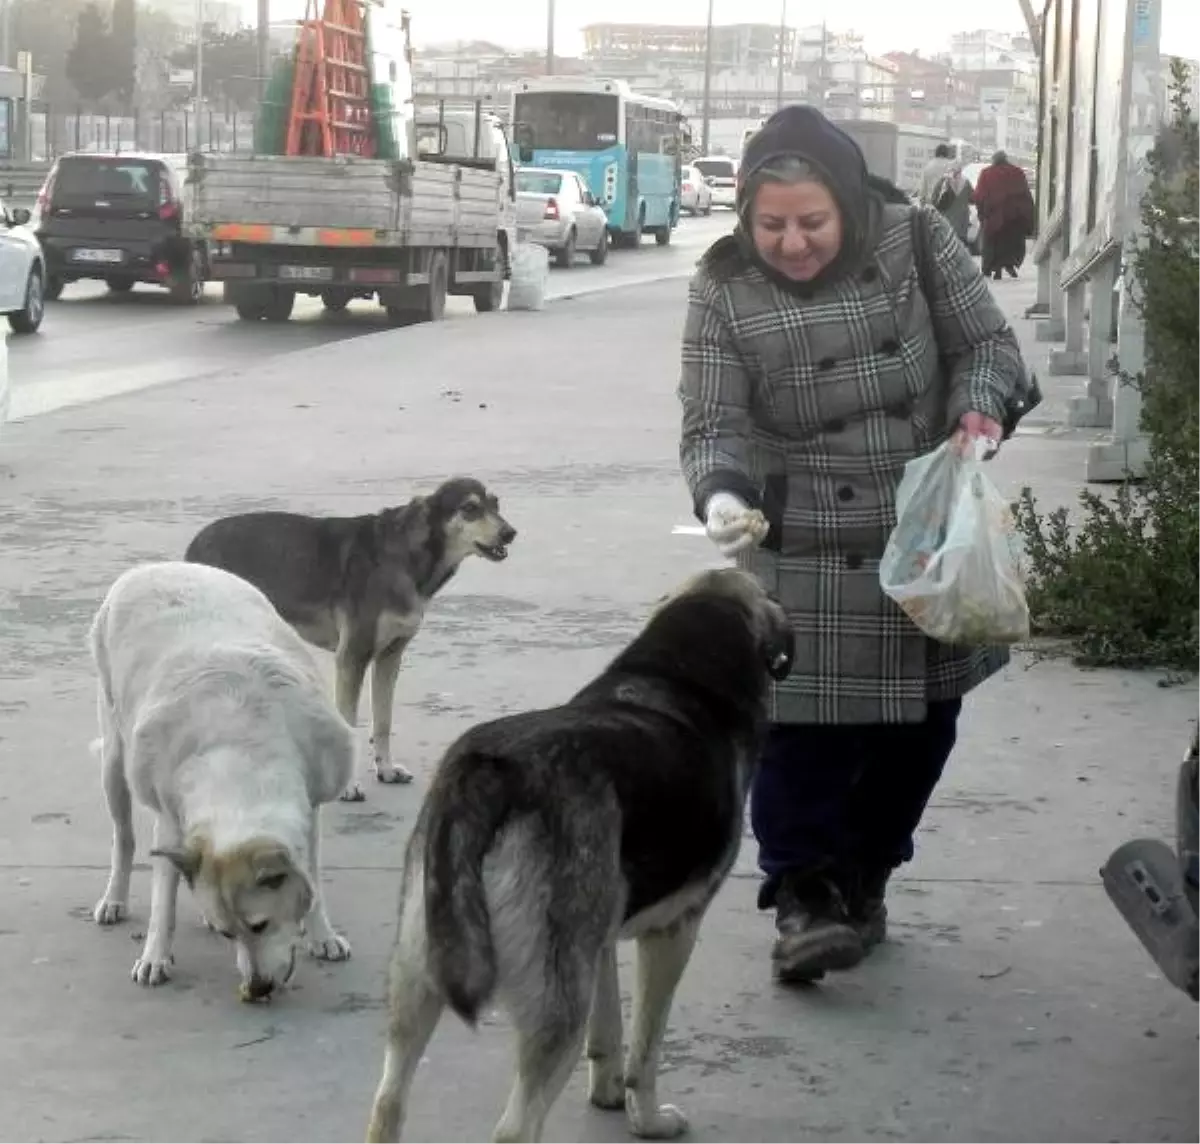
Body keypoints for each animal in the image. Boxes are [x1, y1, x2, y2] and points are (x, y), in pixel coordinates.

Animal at [89, 561, 355, 998]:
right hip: (114, 759)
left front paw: (322, 934)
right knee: (123, 838)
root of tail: (154, 566)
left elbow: (312, 875)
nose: (258, 988)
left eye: (260, 926)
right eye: (231, 935)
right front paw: (155, 954)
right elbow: (163, 899)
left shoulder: (313, 804)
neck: (242, 755)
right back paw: (114, 898)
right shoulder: (169, 817)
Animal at [183, 477, 516, 797]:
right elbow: (349, 724)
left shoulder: (390, 657)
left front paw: (387, 770)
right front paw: (348, 788)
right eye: (470, 508)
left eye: (496, 503)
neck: (404, 555)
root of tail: (195, 545)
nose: (510, 533)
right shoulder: (352, 657)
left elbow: (383, 721)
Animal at [364, 566, 796, 1137]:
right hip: (554, 1006)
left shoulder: (600, 944)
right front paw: (647, 1120)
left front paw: (608, 1094)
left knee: (387, 1102)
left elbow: (608, 1032)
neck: (677, 675)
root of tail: (489, 770)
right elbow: (645, 1054)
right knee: (515, 1128)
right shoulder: (673, 933)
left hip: (419, 973)